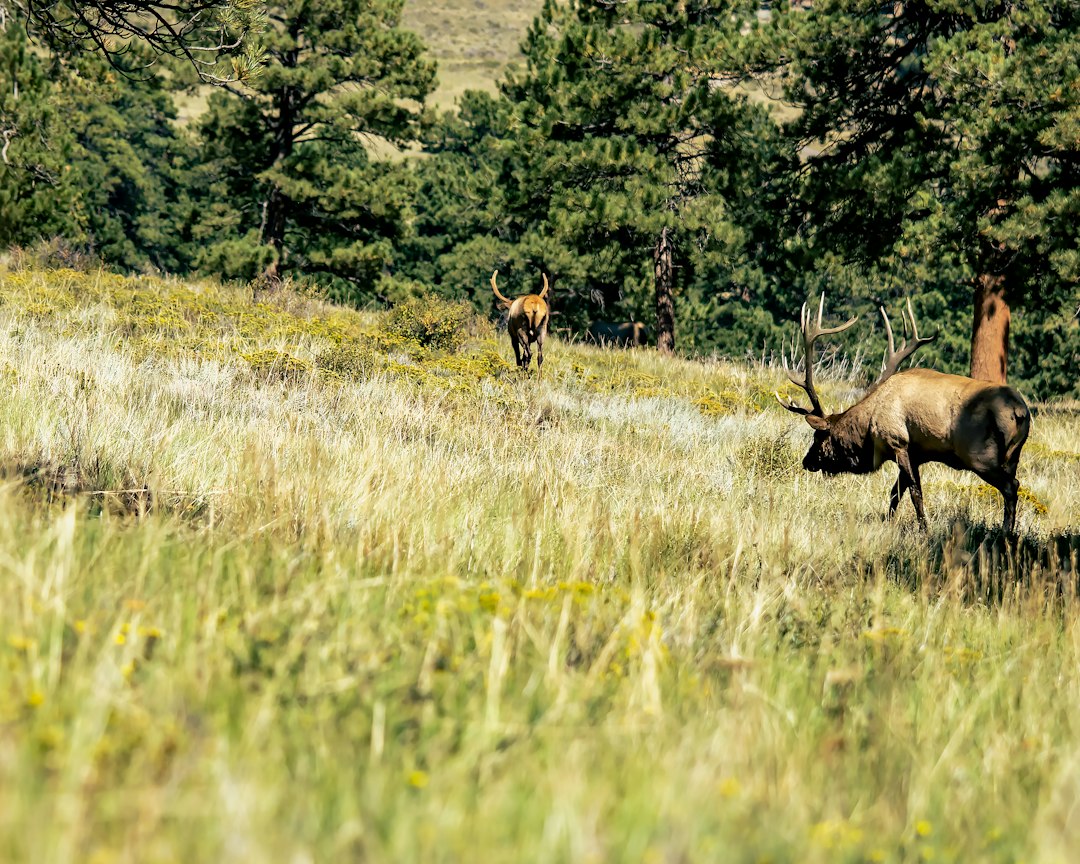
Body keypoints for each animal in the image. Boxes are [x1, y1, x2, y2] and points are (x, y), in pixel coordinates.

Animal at [776, 294, 1031, 534]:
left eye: (818, 437)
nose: (806, 461)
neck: (869, 431)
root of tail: (1020, 411)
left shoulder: (897, 442)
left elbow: (914, 492)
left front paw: (924, 530)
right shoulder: (916, 453)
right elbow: (895, 493)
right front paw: (888, 523)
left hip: (980, 455)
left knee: (1011, 486)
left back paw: (1005, 534)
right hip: (1013, 455)